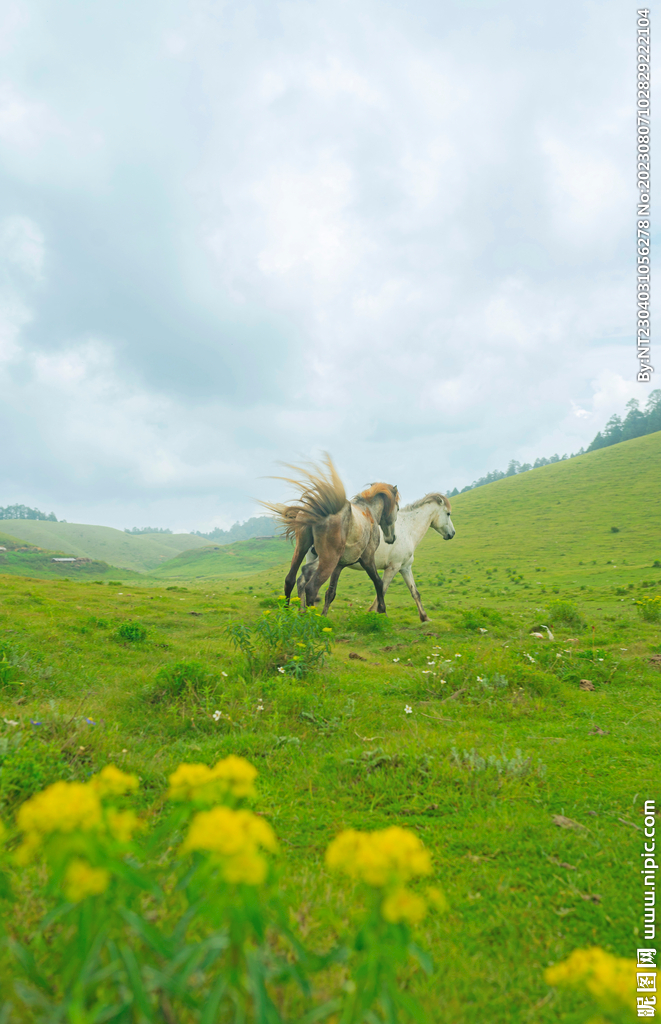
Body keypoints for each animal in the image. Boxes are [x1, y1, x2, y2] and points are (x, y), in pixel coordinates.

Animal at [261, 454, 399, 615]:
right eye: (397, 508)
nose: (392, 538)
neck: (368, 512)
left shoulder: (339, 565)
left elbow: (331, 593)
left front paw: (324, 615)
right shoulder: (367, 559)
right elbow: (378, 582)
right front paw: (382, 611)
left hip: (302, 550)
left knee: (291, 579)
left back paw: (289, 612)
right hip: (328, 560)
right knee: (311, 586)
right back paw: (310, 616)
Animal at [300, 492, 454, 622]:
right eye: (448, 514)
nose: (452, 534)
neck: (408, 530)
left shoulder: (405, 568)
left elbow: (415, 592)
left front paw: (425, 617)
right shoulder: (393, 568)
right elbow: (383, 588)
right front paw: (374, 612)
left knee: (302, 581)